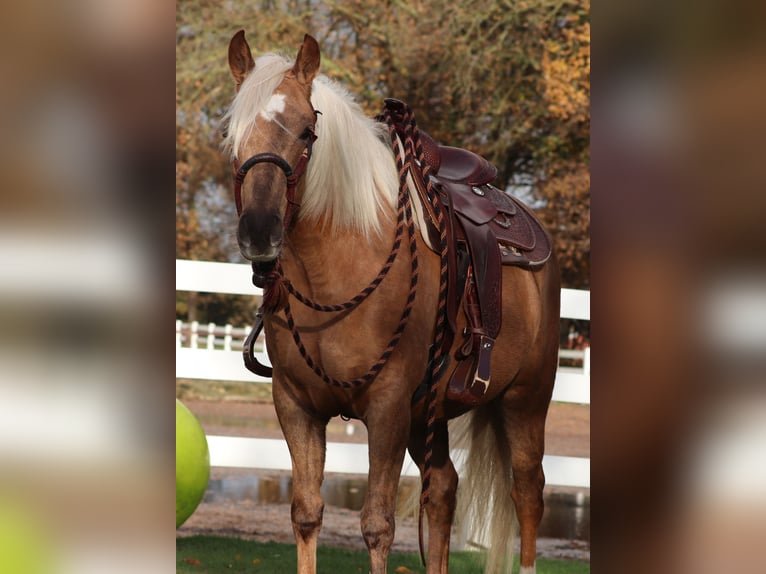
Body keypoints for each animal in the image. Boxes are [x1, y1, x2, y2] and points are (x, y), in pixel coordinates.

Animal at [225, 31, 560, 574]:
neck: (337, 276)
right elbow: (306, 513)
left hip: (526, 400)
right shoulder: (296, 407)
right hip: (431, 414)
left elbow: (377, 524)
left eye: (306, 132)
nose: (258, 231)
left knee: (528, 493)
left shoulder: (387, 410)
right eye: (232, 135)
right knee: (443, 488)